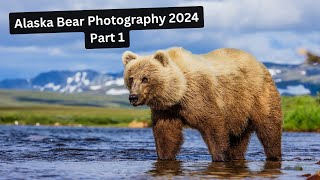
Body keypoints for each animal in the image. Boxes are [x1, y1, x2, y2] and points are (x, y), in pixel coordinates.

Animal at [121, 47, 282, 161]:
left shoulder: (200, 95)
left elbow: (213, 125)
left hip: (256, 94)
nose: (133, 97)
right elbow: (166, 134)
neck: (179, 92)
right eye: (131, 78)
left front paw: (221, 157)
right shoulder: (166, 110)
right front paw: (164, 156)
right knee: (239, 138)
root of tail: (258, 62)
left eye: (145, 78)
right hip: (239, 110)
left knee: (269, 126)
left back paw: (274, 154)